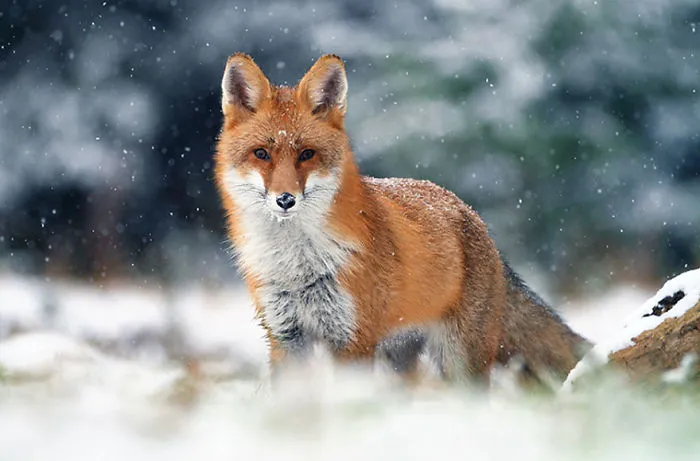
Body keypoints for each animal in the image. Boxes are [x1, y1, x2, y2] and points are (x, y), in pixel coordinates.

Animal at [214, 53, 591, 387]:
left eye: (307, 154)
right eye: (261, 153)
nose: (285, 200)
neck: (297, 266)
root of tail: (470, 213)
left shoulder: (354, 340)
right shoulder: (285, 338)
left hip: (459, 361)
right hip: (399, 360)